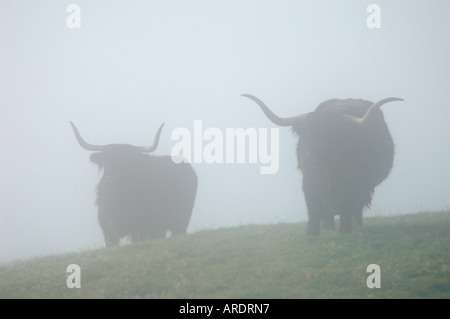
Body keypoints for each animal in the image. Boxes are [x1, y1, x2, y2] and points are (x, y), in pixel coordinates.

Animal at [243, 94, 404, 235]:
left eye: (328, 134)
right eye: (306, 133)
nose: (310, 154)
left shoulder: (353, 184)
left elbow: (347, 205)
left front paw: (345, 230)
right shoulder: (309, 179)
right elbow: (313, 205)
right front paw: (312, 233)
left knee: (357, 206)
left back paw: (356, 224)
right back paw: (328, 225)